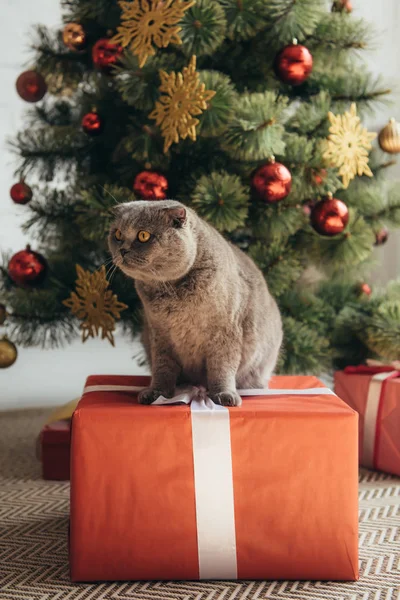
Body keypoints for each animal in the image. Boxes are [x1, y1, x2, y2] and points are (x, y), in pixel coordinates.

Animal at [108, 199, 282, 406]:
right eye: (117, 234)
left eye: (143, 235)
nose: (122, 250)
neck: (171, 292)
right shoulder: (159, 335)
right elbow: (162, 369)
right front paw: (156, 394)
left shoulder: (225, 333)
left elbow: (221, 368)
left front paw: (224, 395)